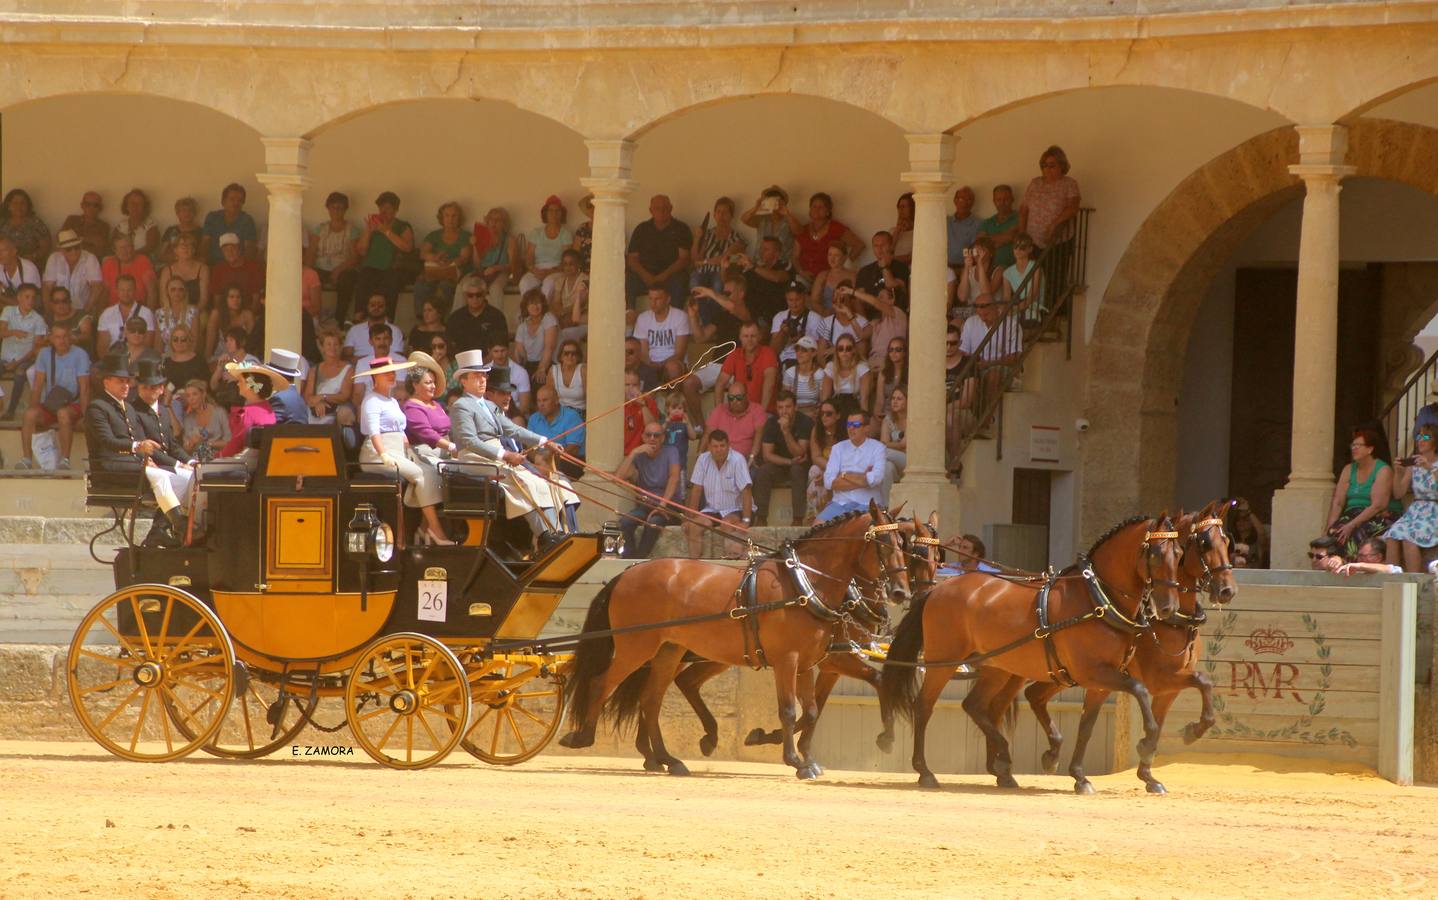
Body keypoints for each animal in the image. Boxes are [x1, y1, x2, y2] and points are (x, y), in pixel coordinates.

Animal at [557, 500, 908, 776]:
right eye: (884, 543)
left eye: (902, 544)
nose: (899, 592)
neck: (803, 584)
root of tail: (626, 573)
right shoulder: (789, 661)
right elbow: (789, 710)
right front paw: (794, 759)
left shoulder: (809, 662)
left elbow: (810, 711)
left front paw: (805, 757)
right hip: (636, 647)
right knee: (602, 683)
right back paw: (583, 737)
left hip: (669, 651)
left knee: (651, 700)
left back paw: (668, 758)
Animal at [632, 511, 949, 770]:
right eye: (915, 552)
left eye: (938, 557)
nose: (907, 593)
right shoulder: (832, 658)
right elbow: (864, 685)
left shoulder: (823, 660)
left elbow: (815, 707)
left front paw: (798, 751)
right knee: (655, 690)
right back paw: (656, 753)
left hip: (709, 653)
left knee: (674, 685)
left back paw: (666, 750)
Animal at [874, 511, 1179, 782]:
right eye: (1155, 554)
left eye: (1178, 554)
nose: (1169, 607)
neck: (1098, 598)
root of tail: (937, 590)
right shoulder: (1094, 672)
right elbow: (1139, 690)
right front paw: (1147, 744)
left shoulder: (1101, 680)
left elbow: (1087, 726)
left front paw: (1080, 776)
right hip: (943, 661)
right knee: (924, 706)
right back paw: (925, 771)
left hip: (996, 667)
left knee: (976, 706)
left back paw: (1003, 765)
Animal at [1018, 500, 1242, 787]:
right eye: (1205, 543)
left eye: (1226, 541)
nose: (1227, 590)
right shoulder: (1160, 679)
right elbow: (1203, 681)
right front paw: (1188, 732)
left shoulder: (1168, 688)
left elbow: (1164, 717)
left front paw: (1148, 773)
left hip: (1068, 673)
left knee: (1036, 696)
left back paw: (1057, 758)